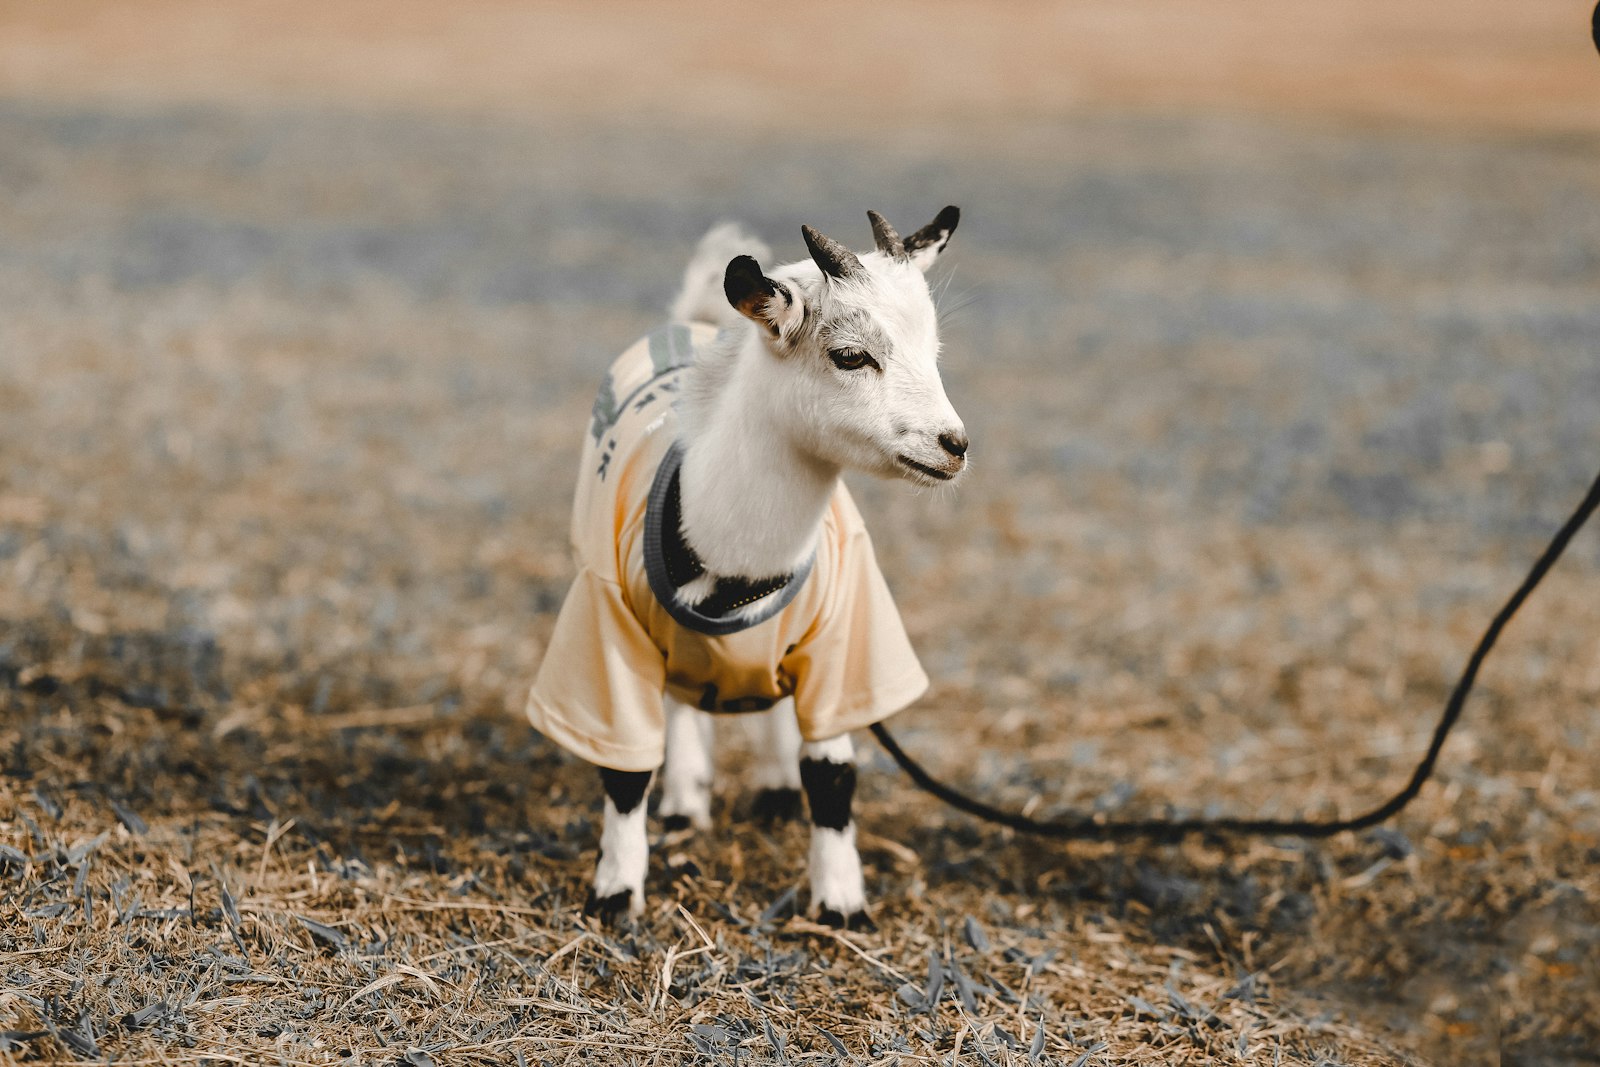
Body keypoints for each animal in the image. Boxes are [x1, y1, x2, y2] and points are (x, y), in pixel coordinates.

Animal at [526, 207, 965, 927]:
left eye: (933, 353)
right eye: (851, 355)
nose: (953, 445)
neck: (735, 558)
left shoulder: (846, 636)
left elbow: (833, 772)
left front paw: (841, 905)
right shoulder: (606, 625)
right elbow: (625, 770)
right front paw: (615, 895)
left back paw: (775, 789)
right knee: (682, 700)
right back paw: (684, 802)